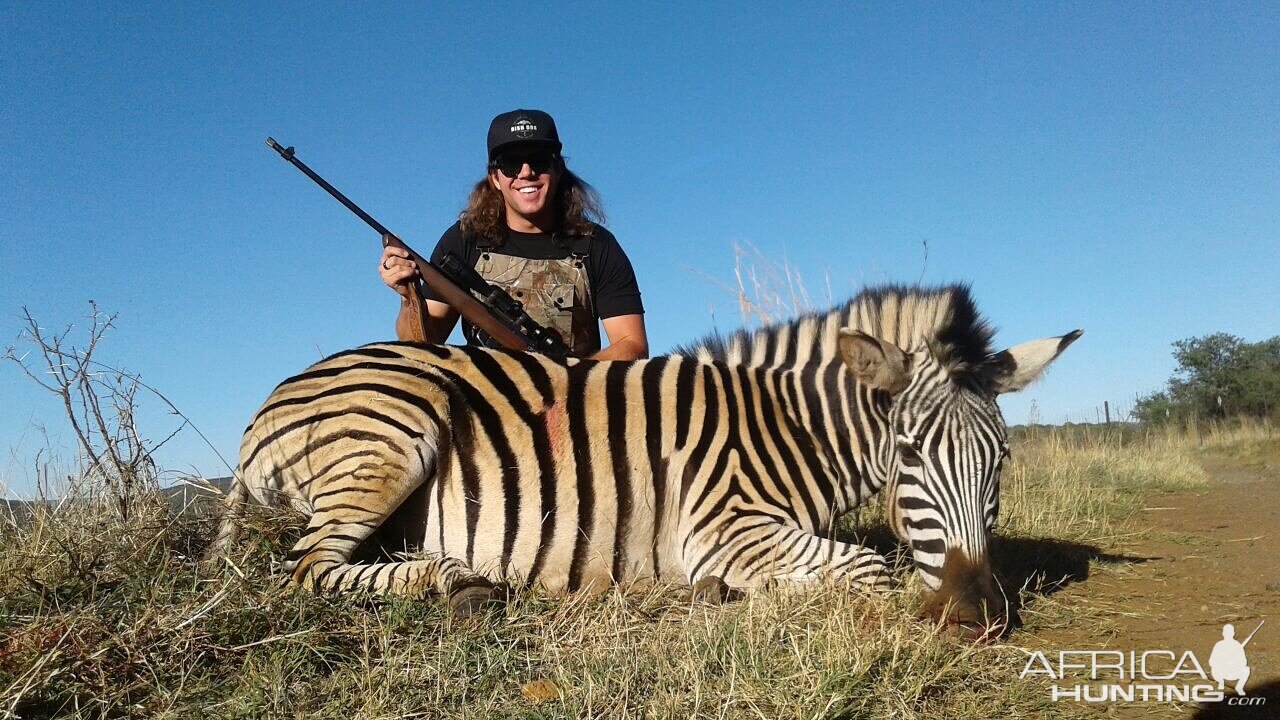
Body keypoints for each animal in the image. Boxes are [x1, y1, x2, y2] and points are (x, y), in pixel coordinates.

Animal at [212, 279, 1080, 622]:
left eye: (1002, 459)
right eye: (909, 454)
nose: (977, 616)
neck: (785, 426)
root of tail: (266, 407)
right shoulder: (724, 527)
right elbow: (869, 565)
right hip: (397, 429)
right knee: (305, 570)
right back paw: (456, 582)